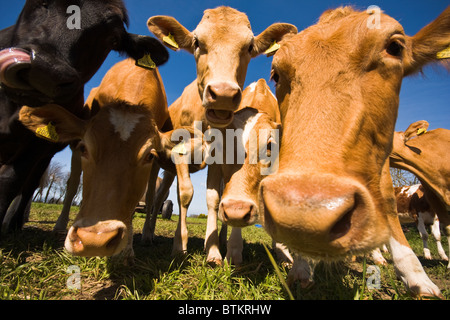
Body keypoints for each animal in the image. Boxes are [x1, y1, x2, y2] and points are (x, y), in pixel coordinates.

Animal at [258, 6, 448, 298]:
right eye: (276, 74)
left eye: (395, 47)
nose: (308, 213)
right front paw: (301, 268)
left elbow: (389, 206)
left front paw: (418, 278)